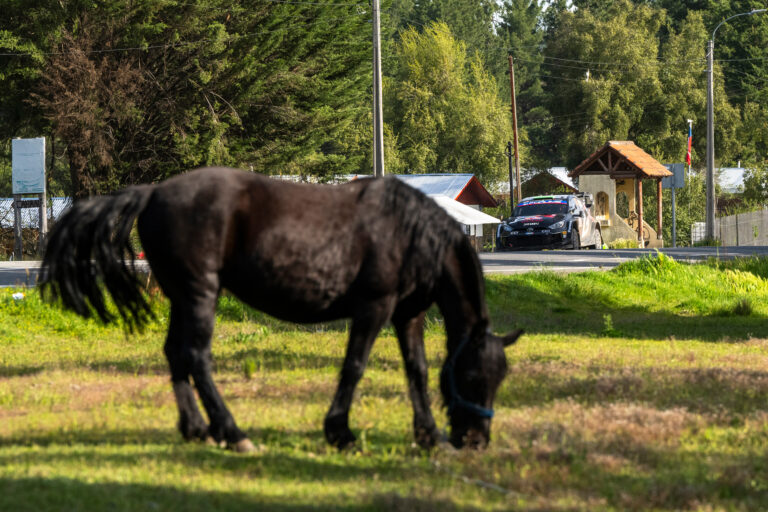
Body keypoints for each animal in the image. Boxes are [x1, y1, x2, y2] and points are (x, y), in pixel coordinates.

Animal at [42, 166, 520, 450]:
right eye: (473, 377)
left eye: (499, 378)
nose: (476, 440)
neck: (409, 230)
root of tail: (153, 191)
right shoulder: (374, 308)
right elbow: (354, 366)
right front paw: (340, 432)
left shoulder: (408, 315)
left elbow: (416, 371)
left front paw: (429, 435)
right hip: (201, 295)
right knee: (196, 356)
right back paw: (233, 432)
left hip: (182, 296)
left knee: (176, 355)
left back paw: (196, 429)